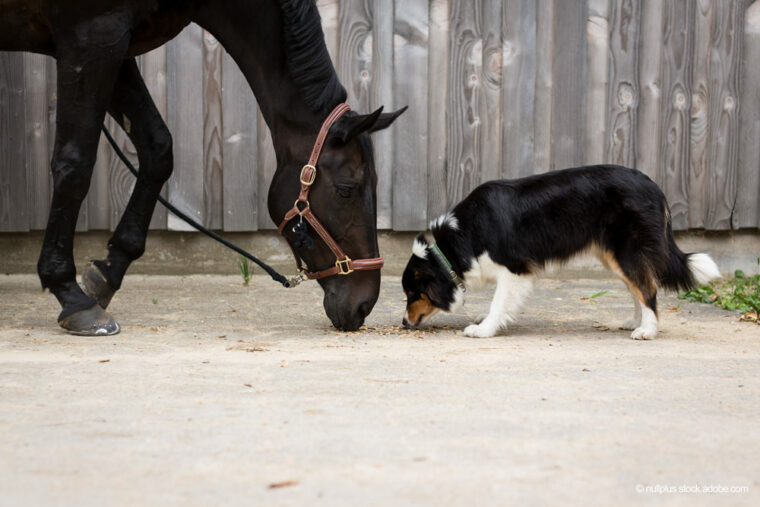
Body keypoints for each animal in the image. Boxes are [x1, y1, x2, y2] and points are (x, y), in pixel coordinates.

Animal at [1, 1, 404, 336]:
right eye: (347, 189)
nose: (364, 303)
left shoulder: (117, 44)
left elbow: (158, 149)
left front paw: (106, 275)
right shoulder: (92, 37)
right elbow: (75, 165)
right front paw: (71, 296)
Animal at [400, 167, 720, 342]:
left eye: (413, 294)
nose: (403, 322)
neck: (457, 240)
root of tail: (657, 188)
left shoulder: (514, 269)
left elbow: (499, 302)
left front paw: (484, 329)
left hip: (627, 252)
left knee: (648, 288)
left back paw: (647, 331)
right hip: (615, 257)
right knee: (638, 287)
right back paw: (636, 321)